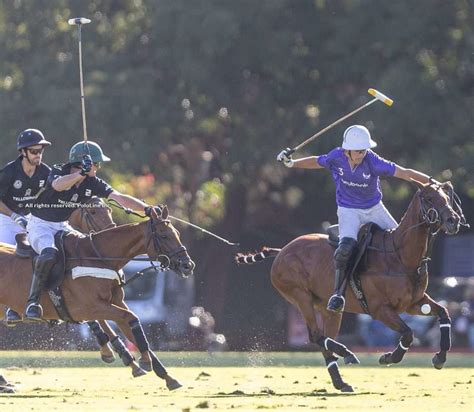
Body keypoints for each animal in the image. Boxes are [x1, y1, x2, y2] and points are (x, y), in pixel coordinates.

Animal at [0, 205, 194, 390]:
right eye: (164, 235)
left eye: (177, 234)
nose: (188, 265)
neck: (98, 257)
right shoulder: (90, 308)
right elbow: (128, 319)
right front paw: (141, 362)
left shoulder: (114, 303)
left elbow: (133, 329)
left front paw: (166, 377)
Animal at [235, 183, 464, 392]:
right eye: (429, 199)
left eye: (447, 198)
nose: (453, 220)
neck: (400, 257)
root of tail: (282, 250)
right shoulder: (379, 309)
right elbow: (408, 333)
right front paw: (388, 357)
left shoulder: (413, 303)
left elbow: (443, 313)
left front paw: (440, 358)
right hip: (300, 296)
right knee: (315, 335)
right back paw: (347, 354)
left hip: (328, 309)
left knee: (324, 339)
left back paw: (341, 381)